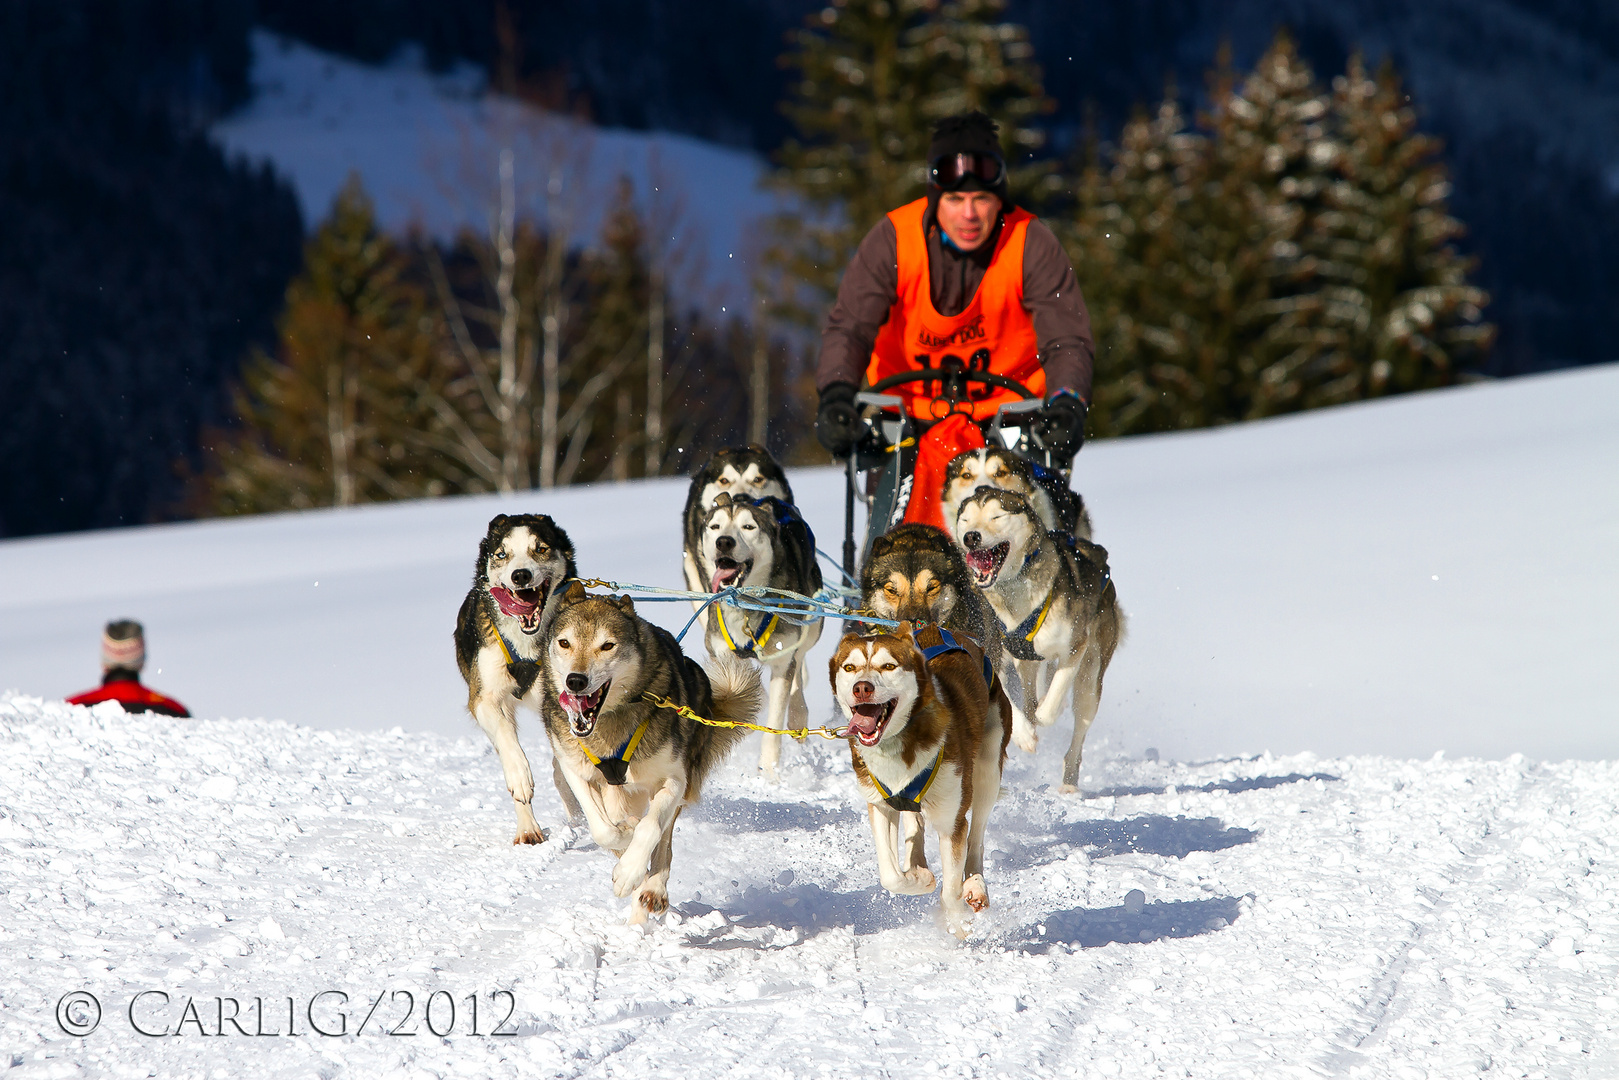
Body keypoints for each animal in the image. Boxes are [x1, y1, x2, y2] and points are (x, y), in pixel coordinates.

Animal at [450, 514, 582, 841]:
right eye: (502, 554)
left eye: (541, 548)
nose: (521, 575)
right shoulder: (484, 698)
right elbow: (507, 740)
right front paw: (520, 776)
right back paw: (528, 828)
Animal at [540, 586, 760, 926]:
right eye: (565, 643)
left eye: (607, 645)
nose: (575, 681)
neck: (609, 724)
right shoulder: (573, 769)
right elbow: (604, 831)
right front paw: (625, 840)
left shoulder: (673, 780)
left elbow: (651, 829)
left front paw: (631, 870)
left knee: (663, 844)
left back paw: (651, 890)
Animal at [692, 495, 822, 780]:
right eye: (715, 526)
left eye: (748, 527)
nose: (724, 542)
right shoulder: (722, 654)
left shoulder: (783, 658)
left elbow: (774, 721)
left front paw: (769, 769)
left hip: (810, 625)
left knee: (799, 664)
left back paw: (798, 715)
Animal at [835, 625, 1010, 939]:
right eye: (849, 667)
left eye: (889, 666)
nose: (861, 687)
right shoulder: (880, 804)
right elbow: (890, 875)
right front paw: (919, 879)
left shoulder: (952, 822)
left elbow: (951, 888)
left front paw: (959, 925)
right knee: (914, 823)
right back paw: (917, 864)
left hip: (988, 768)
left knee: (976, 835)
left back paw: (976, 884)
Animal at [945, 492, 1126, 793]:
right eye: (966, 519)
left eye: (997, 516)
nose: (971, 537)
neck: (1016, 592)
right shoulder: (997, 653)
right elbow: (1012, 699)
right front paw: (1024, 733)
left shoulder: (1075, 647)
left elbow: (1052, 701)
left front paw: (1042, 716)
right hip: (1025, 662)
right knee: (1028, 689)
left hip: (1090, 679)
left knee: (1077, 730)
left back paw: (1069, 781)